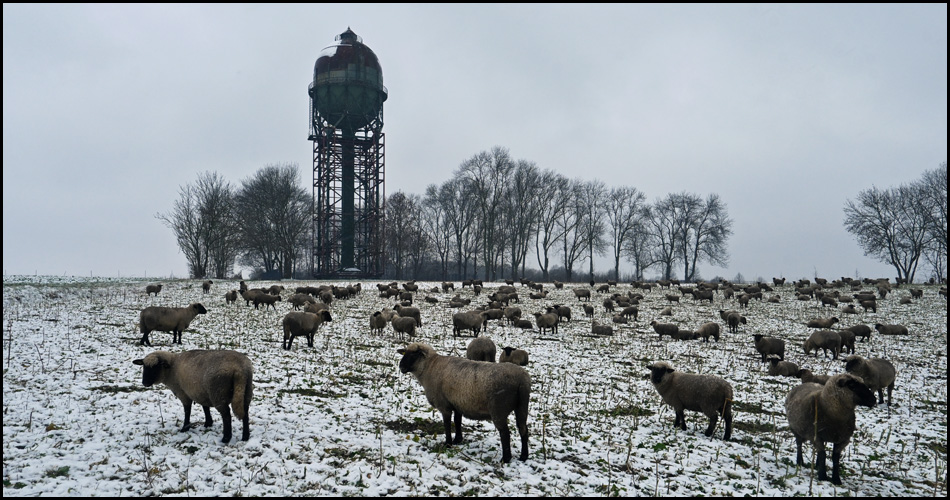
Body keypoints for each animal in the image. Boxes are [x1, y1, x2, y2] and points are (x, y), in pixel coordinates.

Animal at [394, 342, 528, 462]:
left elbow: (447, 424)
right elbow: (457, 421)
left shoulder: (444, 405)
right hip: (522, 406)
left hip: (498, 409)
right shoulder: (457, 403)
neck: (430, 367)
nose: (401, 367)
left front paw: (448, 444)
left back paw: (506, 459)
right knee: (523, 429)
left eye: (414, 354)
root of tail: (522, 380)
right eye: (405, 353)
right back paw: (523, 457)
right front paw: (458, 440)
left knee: (505, 433)